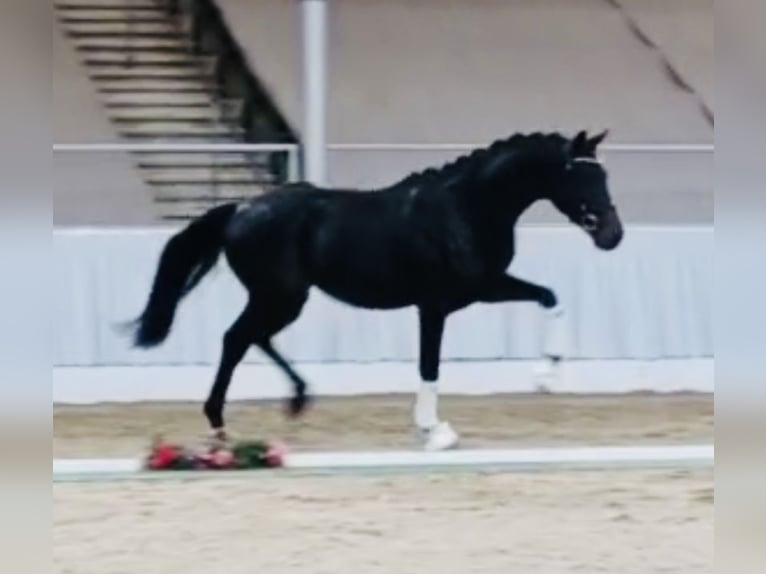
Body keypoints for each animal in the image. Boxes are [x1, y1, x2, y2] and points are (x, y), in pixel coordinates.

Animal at [128, 130, 623, 451]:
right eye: (580, 176)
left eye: (604, 176)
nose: (612, 236)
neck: (465, 207)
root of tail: (240, 209)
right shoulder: (436, 305)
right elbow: (429, 365)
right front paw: (434, 432)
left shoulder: (481, 289)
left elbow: (550, 298)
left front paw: (549, 373)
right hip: (281, 296)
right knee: (236, 339)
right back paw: (221, 425)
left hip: (281, 298)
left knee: (251, 338)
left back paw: (295, 399)